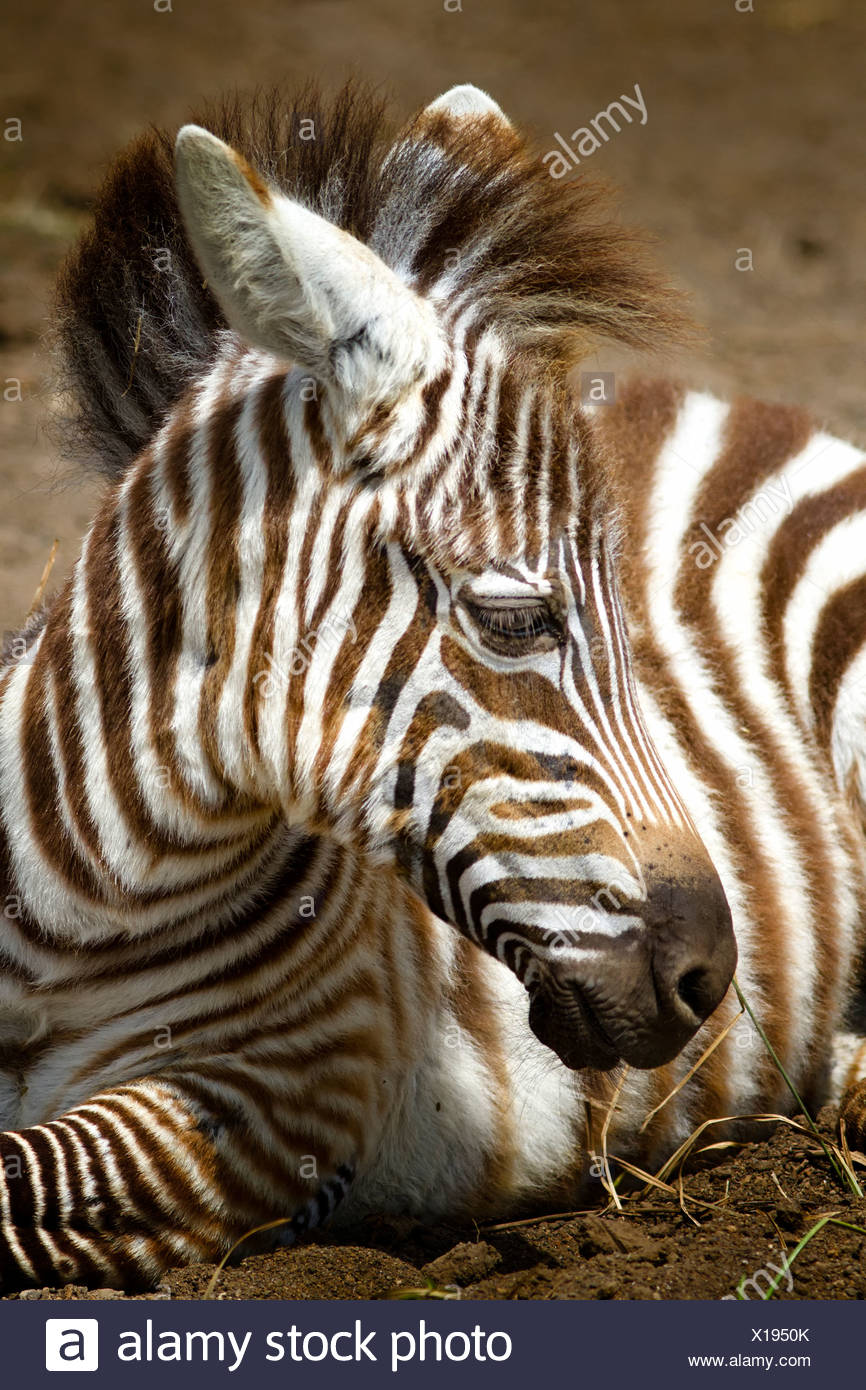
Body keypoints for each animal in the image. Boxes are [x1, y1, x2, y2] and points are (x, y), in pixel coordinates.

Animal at [0, 79, 863, 1293]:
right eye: (514, 620)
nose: (711, 977)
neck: (66, 919)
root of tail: (730, 404)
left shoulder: (277, 1094)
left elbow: (17, 1184)